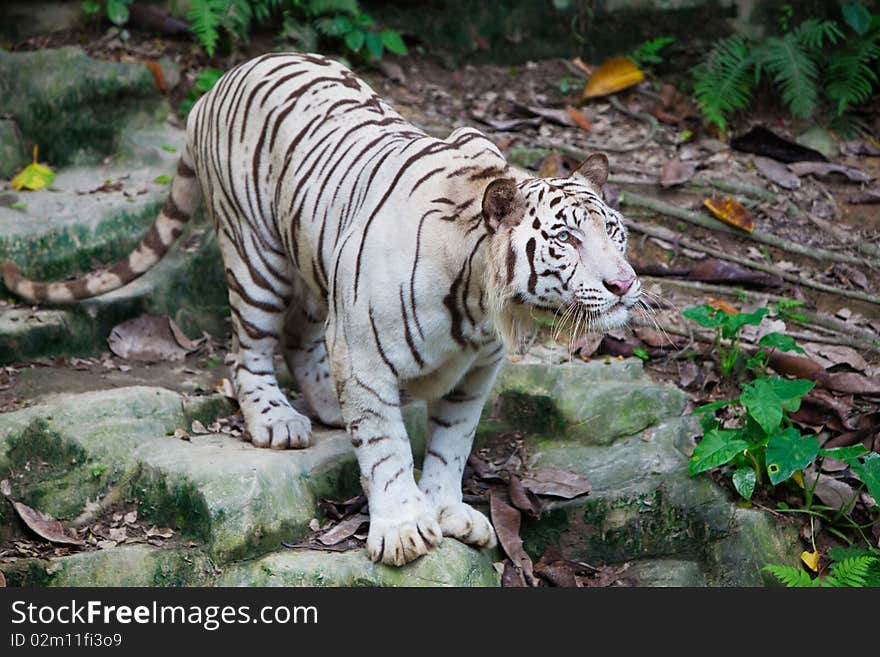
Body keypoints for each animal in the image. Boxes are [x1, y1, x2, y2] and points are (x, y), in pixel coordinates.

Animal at [3, 52, 644, 564]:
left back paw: (326, 407)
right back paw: (277, 421)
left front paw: (447, 511)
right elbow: (384, 446)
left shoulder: (475, 371)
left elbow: (452, 443)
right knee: (248, 352)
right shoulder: (363, 354)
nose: (624, 283)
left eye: (614, 232)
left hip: (316, 267)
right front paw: (403, 528)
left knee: (299, 338)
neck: (479, 309)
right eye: (566, 240)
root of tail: (218, 83)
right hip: (257, 260)